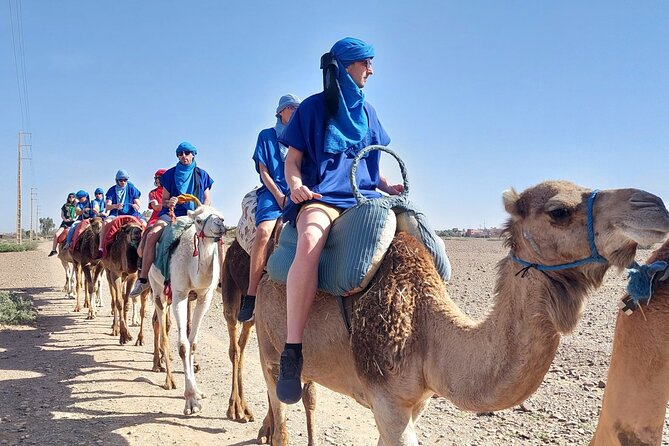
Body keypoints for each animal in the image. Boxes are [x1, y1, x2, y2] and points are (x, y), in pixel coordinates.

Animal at [148, 204, 226, 415]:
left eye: (222, 216)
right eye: (198, 220)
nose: (220, 225)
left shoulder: (204, 297)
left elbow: (193, 344)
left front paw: (197, 392)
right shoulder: (180, 294)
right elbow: (183, 345)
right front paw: (191, 400)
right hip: (157, 289)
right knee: (162, 327)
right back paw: (168, 379)